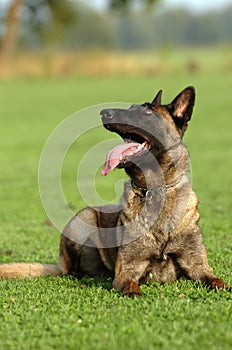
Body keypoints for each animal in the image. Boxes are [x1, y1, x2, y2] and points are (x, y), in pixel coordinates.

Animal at [0, 86, 228, 296]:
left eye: (147, 112)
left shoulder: (198, 266)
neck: (156, 189)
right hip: (84, 218)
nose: (104, 112)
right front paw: (134, 291)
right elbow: (131, 285)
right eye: (131, 108)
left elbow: (217, 281)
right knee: (70, 270)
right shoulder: (127, 270)